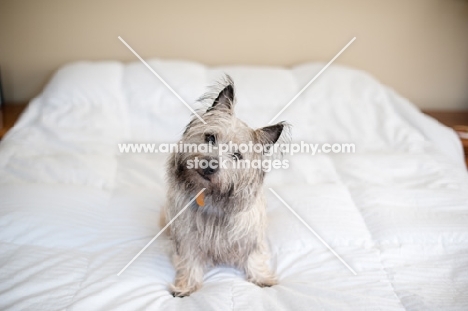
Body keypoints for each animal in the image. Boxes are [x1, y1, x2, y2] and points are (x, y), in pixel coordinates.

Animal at [162, 77, 288, 298]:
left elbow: (254, 256)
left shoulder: (251, 236)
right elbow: (189, 261)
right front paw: (186, 286)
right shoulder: (188, 238)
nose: (210, 165)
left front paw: (262, 278)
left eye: (237, 155)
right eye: (210, 138)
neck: (213, 196)